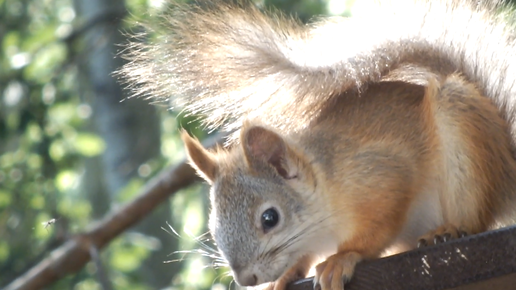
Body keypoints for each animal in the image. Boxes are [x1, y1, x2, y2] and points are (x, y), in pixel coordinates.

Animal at [116, 0, 516, 290]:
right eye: (214, 227)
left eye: (270, 218)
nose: (246, 279)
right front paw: (287, 274)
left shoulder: (385, 177)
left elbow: (375, 231)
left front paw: (341, 258)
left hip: (463, 144)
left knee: (475, 219)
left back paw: (447, 230)